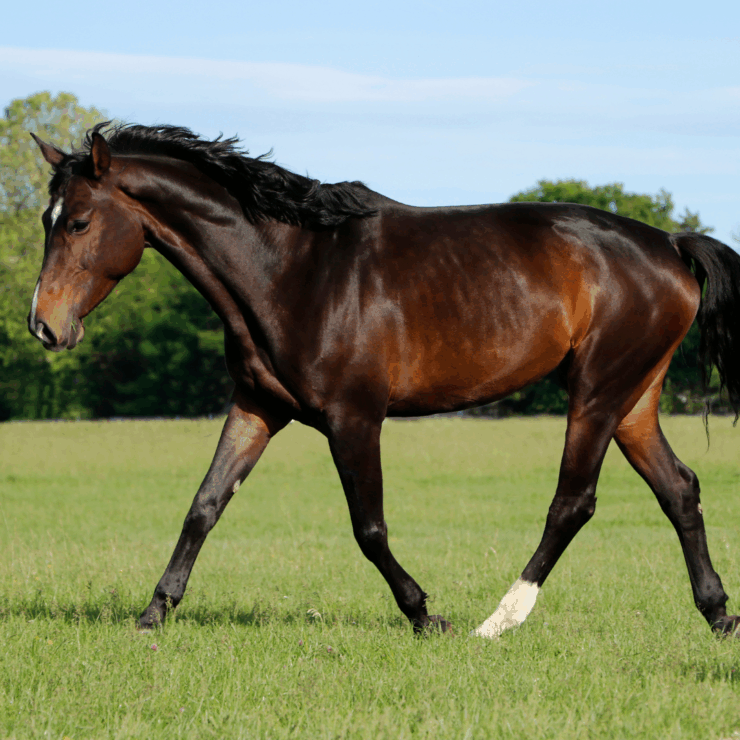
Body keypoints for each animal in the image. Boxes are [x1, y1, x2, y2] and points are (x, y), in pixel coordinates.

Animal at [28, 123, 740, 638]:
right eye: (46, 220)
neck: (292, 270)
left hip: (595, 395)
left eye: (79, 222)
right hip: (632, 401)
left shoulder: (353, 418)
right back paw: (718, 614)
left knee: (573, 503)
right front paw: (154, 614)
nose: (43, 326)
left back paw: (497, 620)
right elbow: (204, 506)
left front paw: (426, 615)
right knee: (680, 490)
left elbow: (368, 528)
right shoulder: (257, 407)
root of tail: (670, 245)